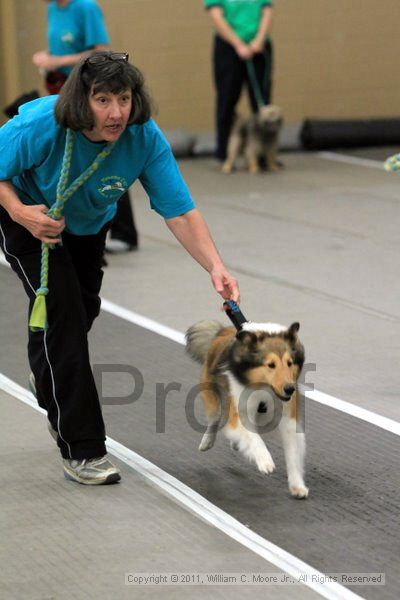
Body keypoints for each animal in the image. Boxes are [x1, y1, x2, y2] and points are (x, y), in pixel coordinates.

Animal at [185, 322, 310, 500]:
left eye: (290, 363)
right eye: (271, 365)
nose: (289, 389)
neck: (264, 388)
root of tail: (224, 330)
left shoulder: (288, 418)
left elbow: (293, 452)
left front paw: (297, 486)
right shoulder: (238, 411)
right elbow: (254, 438)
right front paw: (265, 461)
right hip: (212, 395)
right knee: (215, 419)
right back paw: (207, 442)